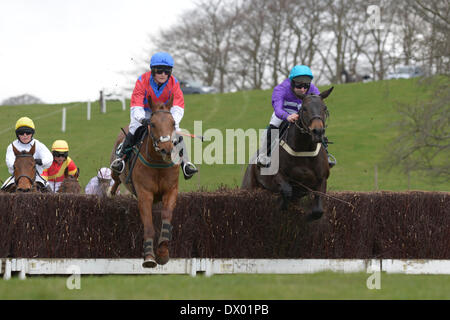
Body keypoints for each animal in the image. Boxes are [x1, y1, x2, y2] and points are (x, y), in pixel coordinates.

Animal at [109, 94, 179, 268]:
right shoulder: (144, 194)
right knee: (115, 180)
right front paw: (149, 257)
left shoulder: (171, 190)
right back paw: (111, 193)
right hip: (115, 170)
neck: (159, 163)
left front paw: (163, 252)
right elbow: (148, 225)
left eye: (173, 123)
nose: (166, 149)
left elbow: (166, 217)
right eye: (152, 124)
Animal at [243, 87, 334, 222]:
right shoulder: (279, 176)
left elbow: (318, 210)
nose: (317, 132)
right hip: (249, 186)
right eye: (304, 108)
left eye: (324, 108)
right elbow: (287, 192)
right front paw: (282, 207)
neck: (304, 150)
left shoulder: (321, 180)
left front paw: (307, 217)